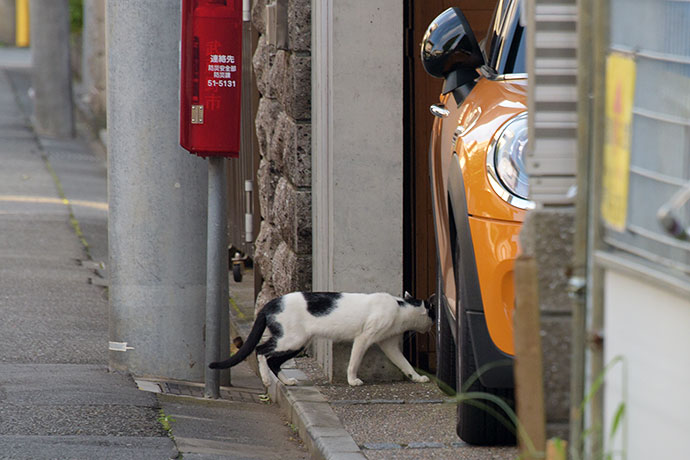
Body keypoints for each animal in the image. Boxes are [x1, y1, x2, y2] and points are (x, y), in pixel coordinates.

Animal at [207, 292, 432, 386]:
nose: (432, 327)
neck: (401, 308)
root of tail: (270, 303)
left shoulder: (389, 344)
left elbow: (404, 363)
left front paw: (416, 377)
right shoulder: (364, 337)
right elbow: (354, 361)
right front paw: (352, 380)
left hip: (299, 342)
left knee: (274, 360)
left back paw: (287, 381)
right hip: (292, 339)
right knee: (261, 350)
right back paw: (266, 380)